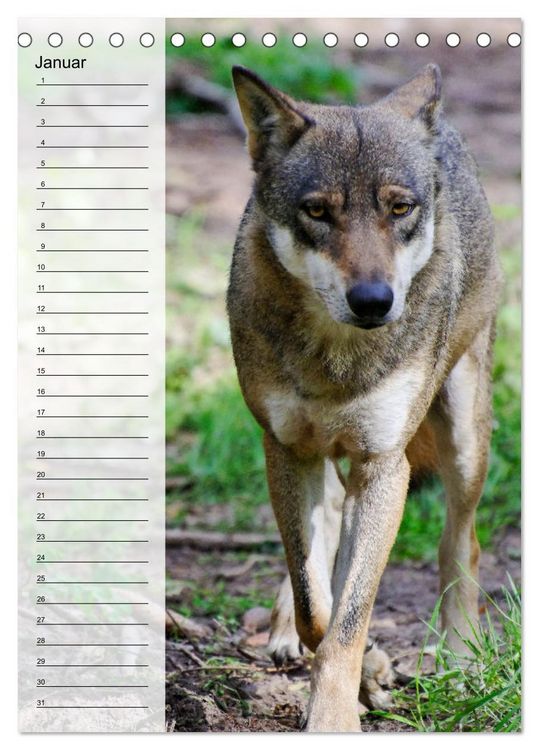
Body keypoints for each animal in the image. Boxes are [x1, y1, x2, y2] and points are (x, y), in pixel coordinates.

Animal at [227, 63, 500, 732]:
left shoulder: (383, 465)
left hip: (463, 444)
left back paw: (461, 660)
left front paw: (335, 714)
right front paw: (361, 667)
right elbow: (315, 602)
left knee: (462, 544)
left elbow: (350, 618)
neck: (336, 359)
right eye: (317, 212)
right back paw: (283, 631)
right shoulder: (286, 449)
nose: (374, 301)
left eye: (399, 208)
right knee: (320, 535)